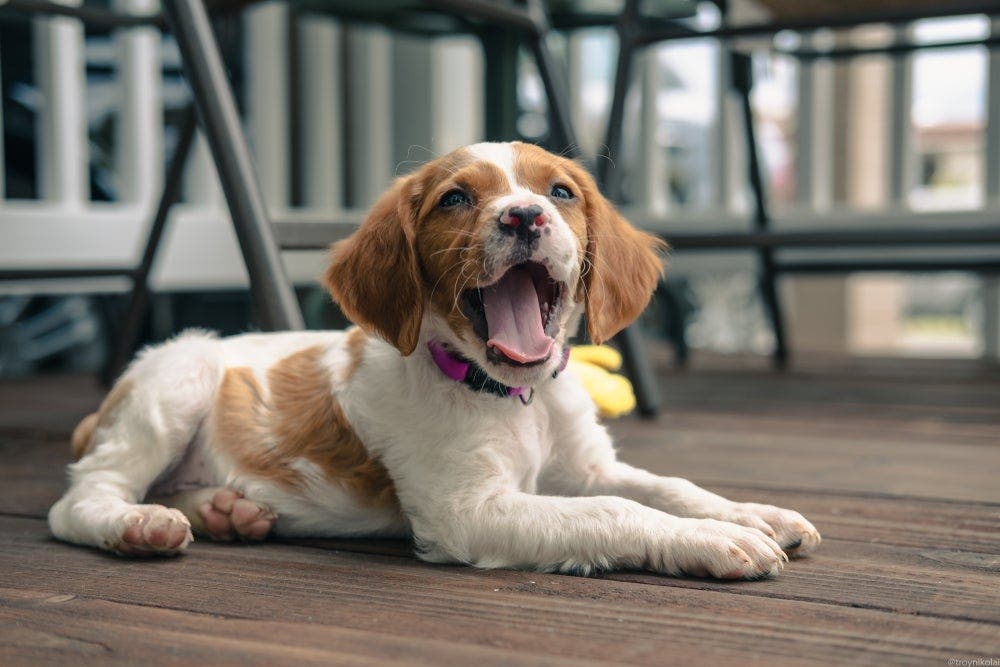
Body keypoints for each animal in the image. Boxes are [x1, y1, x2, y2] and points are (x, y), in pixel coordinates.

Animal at [48, 142, 820, 580]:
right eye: (456, 199)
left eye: (560, 192)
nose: (524, 216)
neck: (516, 396)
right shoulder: (467, 509)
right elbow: (613, 511)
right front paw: (716, 540)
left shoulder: (586, 467)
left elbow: (667, 485)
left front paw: (752, 513)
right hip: (176, 382)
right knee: (81, 497)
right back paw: (137, 526)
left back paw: (224, 509)